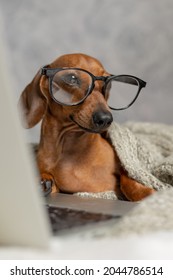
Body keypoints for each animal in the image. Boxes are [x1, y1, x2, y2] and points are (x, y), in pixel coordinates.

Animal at [18, 53, 154, 201]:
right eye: (72, 78)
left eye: (108, 83)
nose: (105, 119)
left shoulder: (125, 167)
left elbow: (128, 179)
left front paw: (149, 193)